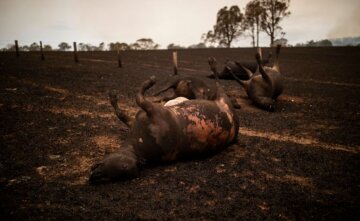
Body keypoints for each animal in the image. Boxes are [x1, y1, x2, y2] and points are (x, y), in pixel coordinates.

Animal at [89, 75, 239, 184]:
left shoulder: (150, 109)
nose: (96, 176)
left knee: (218, 82)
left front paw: (150, 81)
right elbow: (121, 113)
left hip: (222, 96)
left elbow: (139, 96)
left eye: (122, 167)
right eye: (110, 177)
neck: (138, 148)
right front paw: (113, 98)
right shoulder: (136, 121)